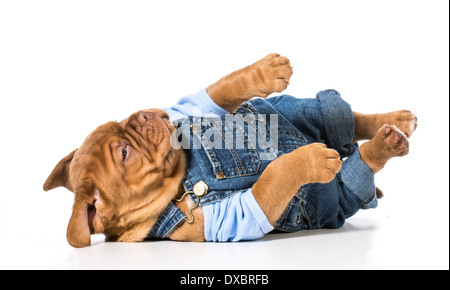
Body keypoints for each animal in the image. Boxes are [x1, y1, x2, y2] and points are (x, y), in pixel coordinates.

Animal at [44, 53, 416, 247]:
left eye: (118, 121)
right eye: (124, 154)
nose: (143, 114)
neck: (182, 174)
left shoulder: (191, 109)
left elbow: (218, 91)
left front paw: (266, 69)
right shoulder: (230, 216)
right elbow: (274, 178)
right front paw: (308, 158)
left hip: (288, 107)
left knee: (345, 118)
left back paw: (397, 120)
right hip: (334, 200)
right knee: (354, 169)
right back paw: (386, 143)